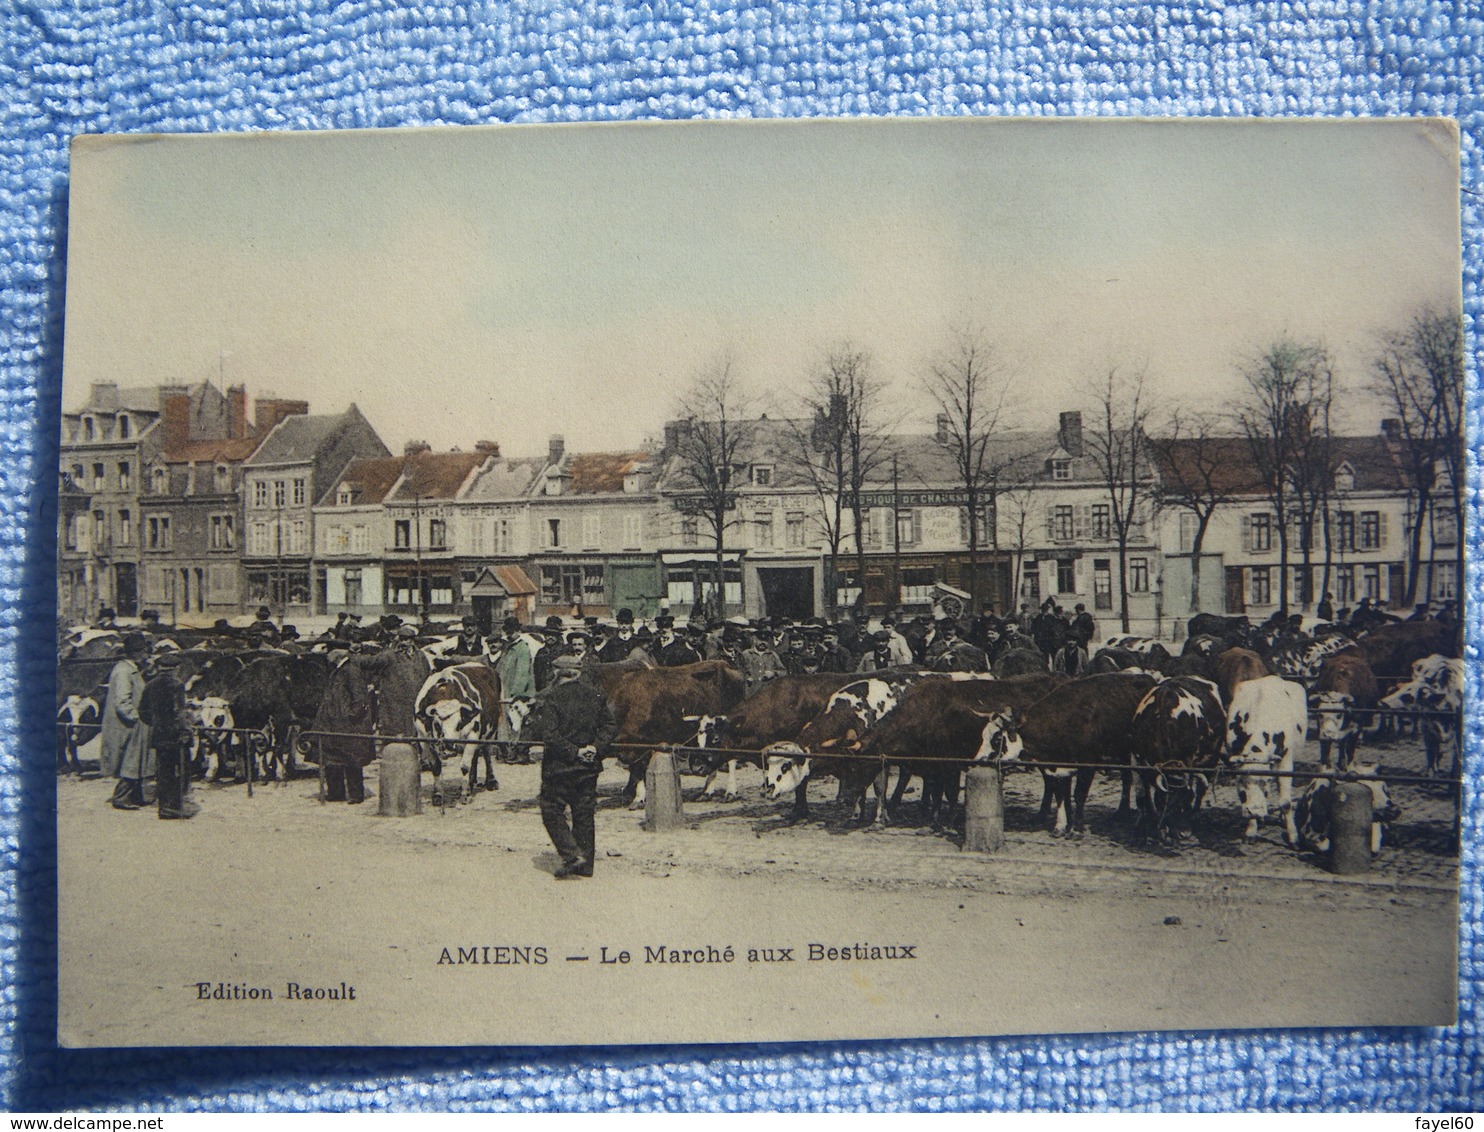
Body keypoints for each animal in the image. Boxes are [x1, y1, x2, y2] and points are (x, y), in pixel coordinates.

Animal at [415, 658, 507, 801]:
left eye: (459, 723)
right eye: (437, 724)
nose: (449, 743)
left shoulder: (473, 733)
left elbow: (464, 766)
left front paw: (465, 794)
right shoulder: (425, 738)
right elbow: (436, 767)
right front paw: (437, 794)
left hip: (490, 731)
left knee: (486, 753)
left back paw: (491, 781)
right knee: (475, 756)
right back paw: (472, 782)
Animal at [973, 676, 1157, 836]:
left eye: (997, 739)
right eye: (983, 736)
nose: (978, 760)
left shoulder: (1087, 764)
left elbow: (1078, 794)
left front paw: (1077, 829)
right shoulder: (1058, 766)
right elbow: (1061, 794)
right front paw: (1061, 827)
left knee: (1142, 780)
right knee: (1127, 777)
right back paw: (1123, 813)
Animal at [1127, 676, 1222, 848]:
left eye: (1180, 799)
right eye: (1167, 800)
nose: (1181, 834)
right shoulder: (1139, 760)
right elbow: (1145, 795)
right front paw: (1149, 828)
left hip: (1211, 757)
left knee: (1200, 789)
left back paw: (1191, 819)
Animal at [1222, 676, 1305, 848]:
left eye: (1264, 780)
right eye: (1243, 782)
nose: (1254, 810)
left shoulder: (1285, 761)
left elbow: (1285, 802)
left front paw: (1293, 837)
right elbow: (1243, 797)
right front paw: (1251, 831)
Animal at [1311, 649, 1377, 777]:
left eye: (1339, 715)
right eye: (1320, 714)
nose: (1328, 734)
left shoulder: (1357, 725)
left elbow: (1350, 747)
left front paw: (1350, 767)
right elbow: (1325, 747)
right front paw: (1326, 767)